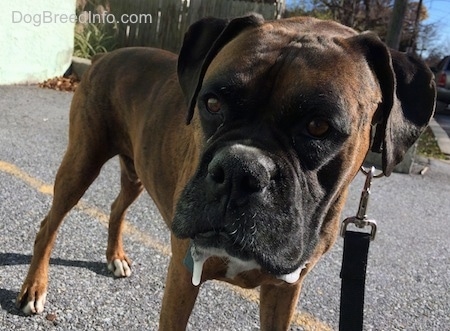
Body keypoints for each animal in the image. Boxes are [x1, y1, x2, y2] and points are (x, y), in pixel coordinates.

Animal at [18, 14, 436, 330]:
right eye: (212, 103)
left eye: (319, 127)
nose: (239, 170)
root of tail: (106, 55)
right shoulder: (184, 276)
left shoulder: (283, 291)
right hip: (81, 162)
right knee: (49, 225)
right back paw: (34, 289)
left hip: (137, 170)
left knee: (117, 207)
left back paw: (114, 256)